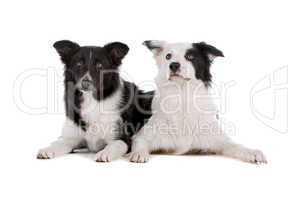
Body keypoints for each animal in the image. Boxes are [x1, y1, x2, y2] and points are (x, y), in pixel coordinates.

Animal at [129, 40, 268, 164]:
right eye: (168, 56)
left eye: (190, 56)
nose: (173, 65)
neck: (183, 96)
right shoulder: (143, 135)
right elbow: (140, 142)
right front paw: (139, 153)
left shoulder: (219, 140)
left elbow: (235, 145)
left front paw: (252, 152)